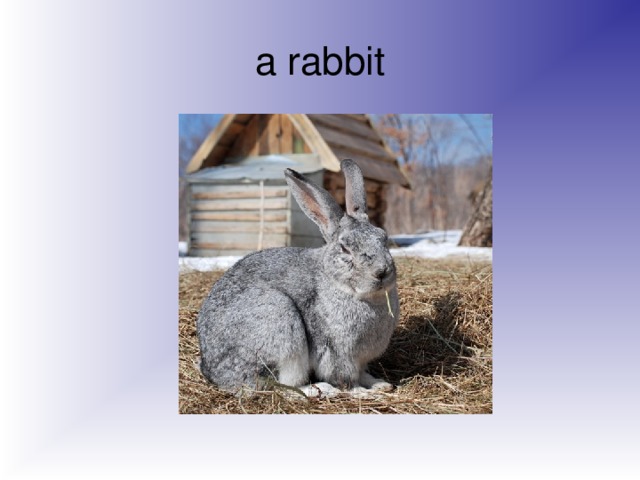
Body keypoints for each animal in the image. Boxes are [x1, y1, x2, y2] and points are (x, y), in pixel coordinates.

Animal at [196, 159, 400, 396]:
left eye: (383, 237)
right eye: (345, 249)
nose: (382, 271)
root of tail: (214, 372)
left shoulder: (360, 360)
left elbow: (364, 374)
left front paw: (380, 384)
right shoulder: (339, 354)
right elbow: (347, 380)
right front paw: (363, 393)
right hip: (279, 324)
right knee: (285, 386)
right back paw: (322, 390)